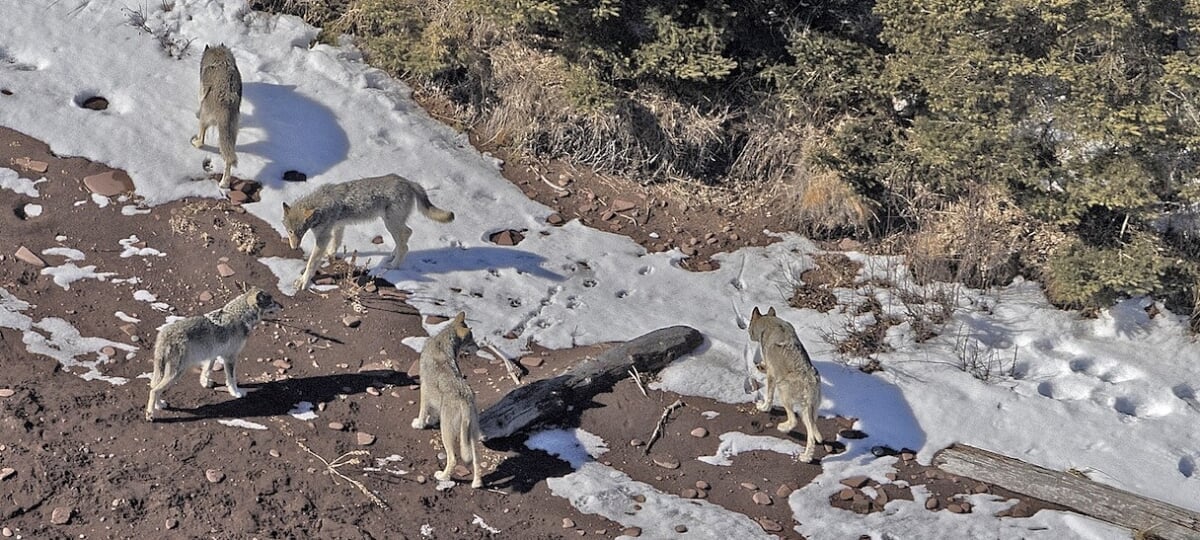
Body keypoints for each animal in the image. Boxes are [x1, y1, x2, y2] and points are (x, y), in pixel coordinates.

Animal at [144, 287, 281, 422]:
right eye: (272, 302)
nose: (282, 306)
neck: (241, 315)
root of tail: (164, 335)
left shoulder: (212, 354)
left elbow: (207, 370)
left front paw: (205, 383)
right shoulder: (230, 358)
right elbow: (232, 379)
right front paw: (236, 393)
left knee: (155, 388)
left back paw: (160, 405)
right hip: (177, 373)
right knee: (154, 390)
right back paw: (150, 415)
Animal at [191, 44, 242, 189]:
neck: (220, 58)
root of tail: (226, 103)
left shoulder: (202, 90)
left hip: (205, 119)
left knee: (202, 140)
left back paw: (195, 142)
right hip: (231, 134)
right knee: (228, 159)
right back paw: (224, 183)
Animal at [280, 174, 455, 291]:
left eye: (300, 233)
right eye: (290, 232)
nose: (294, 247)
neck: (320, 205)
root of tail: (408, 182)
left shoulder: (323, 237)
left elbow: (311, 263)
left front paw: (303, 281)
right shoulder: (337, 227)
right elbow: (335, 244)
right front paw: (329, 254)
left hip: (390, 224)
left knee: (405, 245)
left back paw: (393, 265)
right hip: (392, 224)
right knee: (407, 234)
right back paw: (392, 254)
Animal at [410, 312, 484, 488]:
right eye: (472, 341)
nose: (479, 348)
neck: (441, 342)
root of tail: (465, 400)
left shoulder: (424, 389)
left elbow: (423, 412)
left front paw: (419, 424)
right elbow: (433, 413)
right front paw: (430, 421)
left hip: (447, 433)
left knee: (453, 459)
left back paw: (443, 477)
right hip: (472, 435)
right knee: (476, 460)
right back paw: (476, 483)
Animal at [748, 306, 824, 462]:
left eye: (749, 325)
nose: (747, 331)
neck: (770, 323)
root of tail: (809, 383)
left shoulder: (772, 376)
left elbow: (768, 397)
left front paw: (763, 408)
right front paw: (761, 366)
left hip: (784, 393)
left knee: (794, 421)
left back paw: (782, 428)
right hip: (808, 411)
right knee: (812, 434)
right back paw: (806, 457)